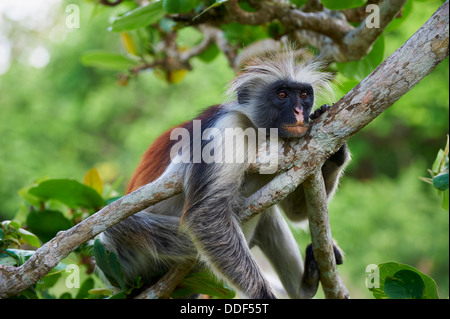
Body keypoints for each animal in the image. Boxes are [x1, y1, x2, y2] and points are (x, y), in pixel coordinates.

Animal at [100, 50, 350, 300]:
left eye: (304, 95)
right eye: (281, 95)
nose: (299, 112)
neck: (259, 133)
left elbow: (296, 213)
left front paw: (336, 152)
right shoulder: (225, 129)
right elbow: (206, 213)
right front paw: (263, 294)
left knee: (268, 216)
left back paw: (306, 284)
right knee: (119, 226)